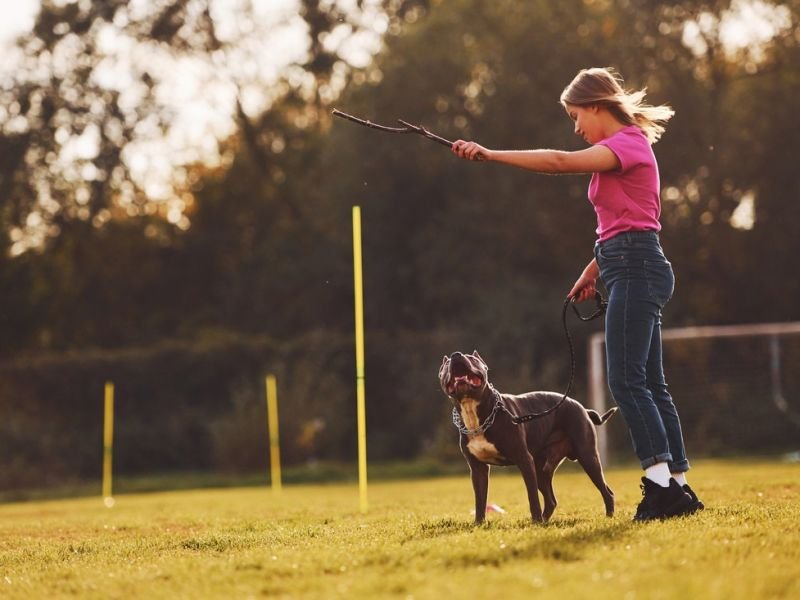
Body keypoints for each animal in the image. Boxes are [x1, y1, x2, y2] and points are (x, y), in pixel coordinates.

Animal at [438, 350, 620, 524]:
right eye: (446, 364)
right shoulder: (478, 469)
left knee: (606, 491)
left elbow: (532, 497)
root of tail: (583, 408)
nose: (456, 355)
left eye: (472, 358)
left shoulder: (524, 460)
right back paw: (545, 521)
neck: (474, 414)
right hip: (542, 469)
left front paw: (535, 520)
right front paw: (478, 524)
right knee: (551, 500)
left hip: (587, 456)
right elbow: (480, 500)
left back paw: (608, 517)